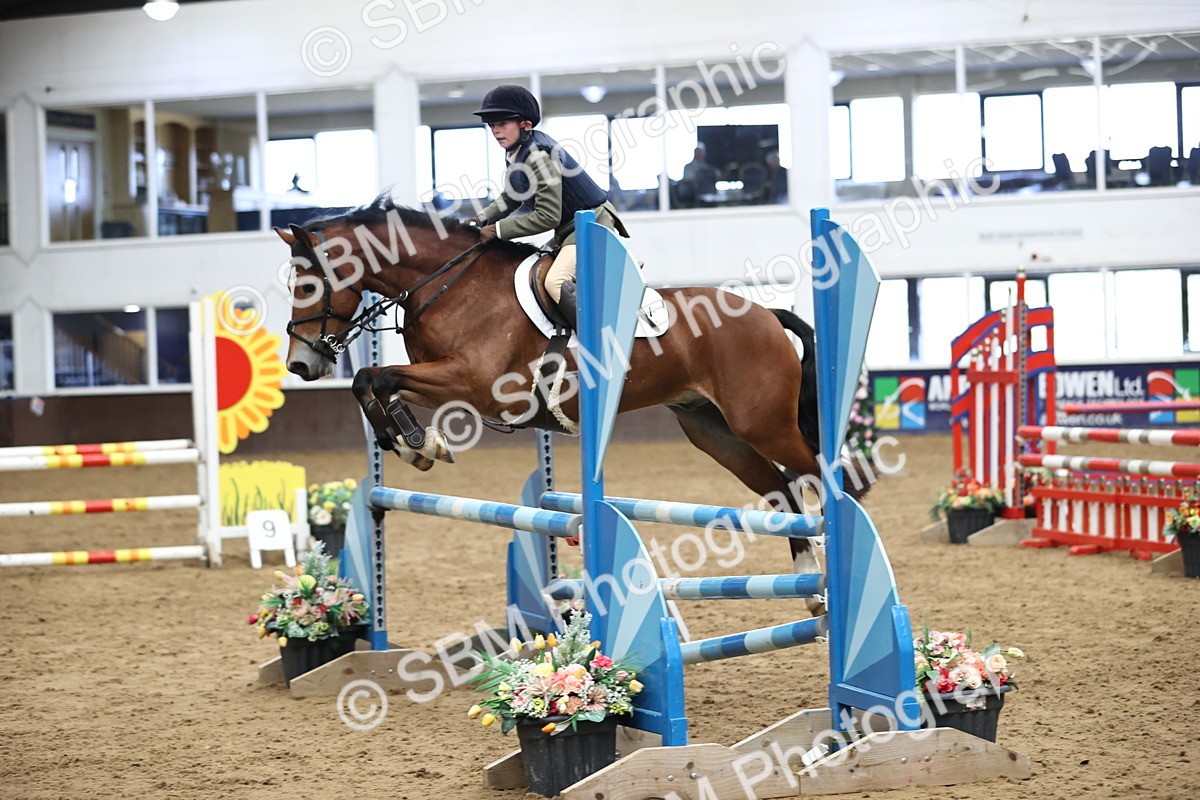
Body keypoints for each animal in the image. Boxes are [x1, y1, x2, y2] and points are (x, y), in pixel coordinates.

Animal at [277, 196, 862, 578]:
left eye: (307, 284)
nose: (301, 364)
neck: (447, 284)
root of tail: (766, 313)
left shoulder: (475, 381)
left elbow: (374, 376)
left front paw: (417, 445)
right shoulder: (447, 382)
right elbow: (372, 382)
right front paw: (415, 442)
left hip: (762, 424)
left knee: (821, 476)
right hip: (715, 432)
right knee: (782, 488)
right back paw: (809, 580)